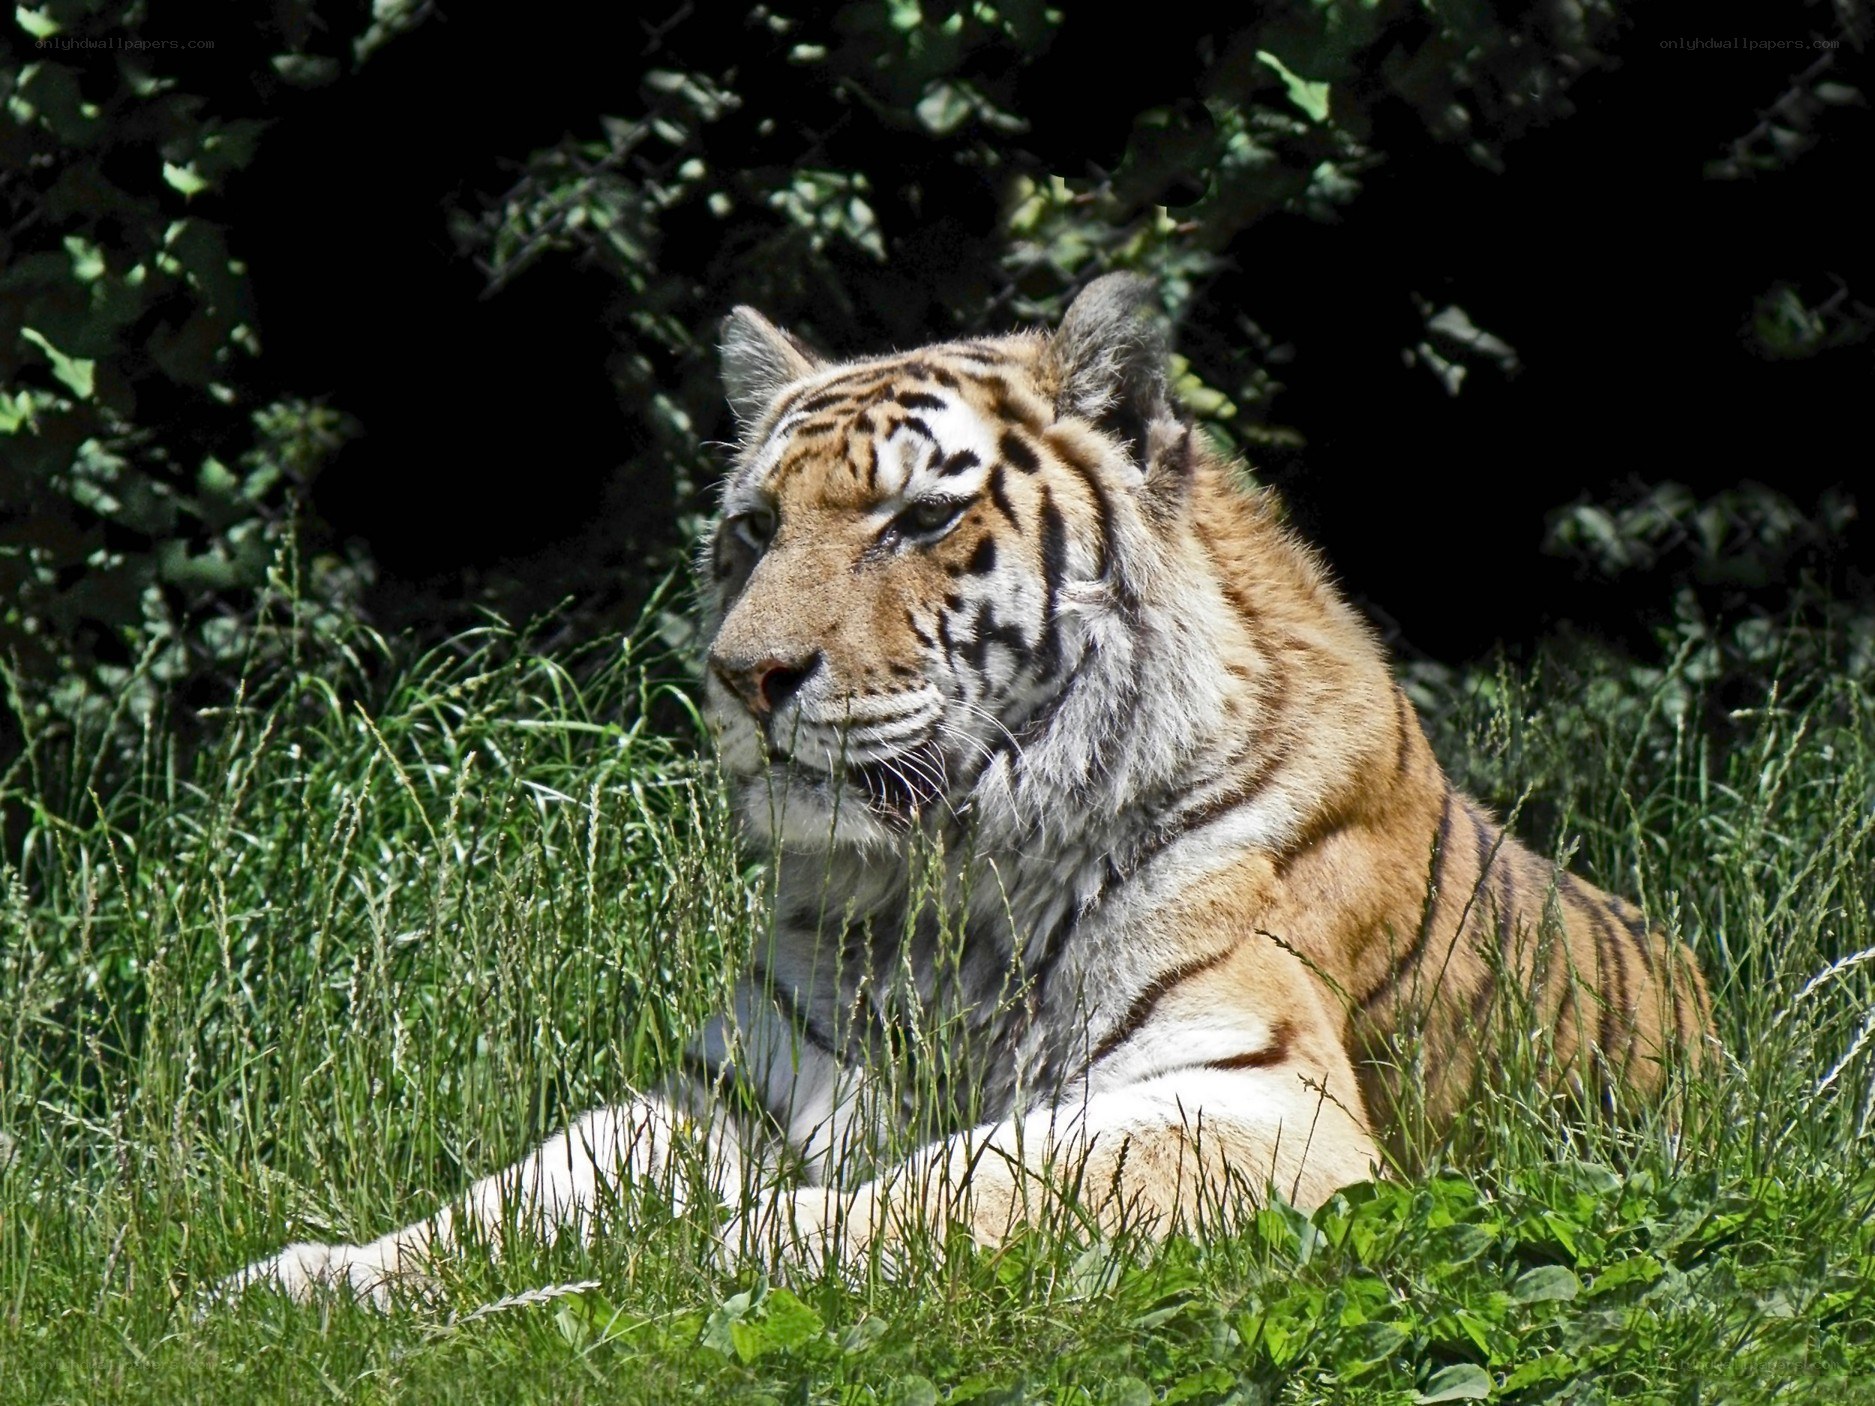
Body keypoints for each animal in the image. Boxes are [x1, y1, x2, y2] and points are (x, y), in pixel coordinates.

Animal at [231, 275, 1714, 1305]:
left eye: (921, 518)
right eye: (752, 527)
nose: (740, 676)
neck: (951, 884)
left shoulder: (1252, 1096)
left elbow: (946, 1186)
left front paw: (655, 1270)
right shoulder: (736, 1089)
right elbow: (522, 1186)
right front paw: (308, 1281)